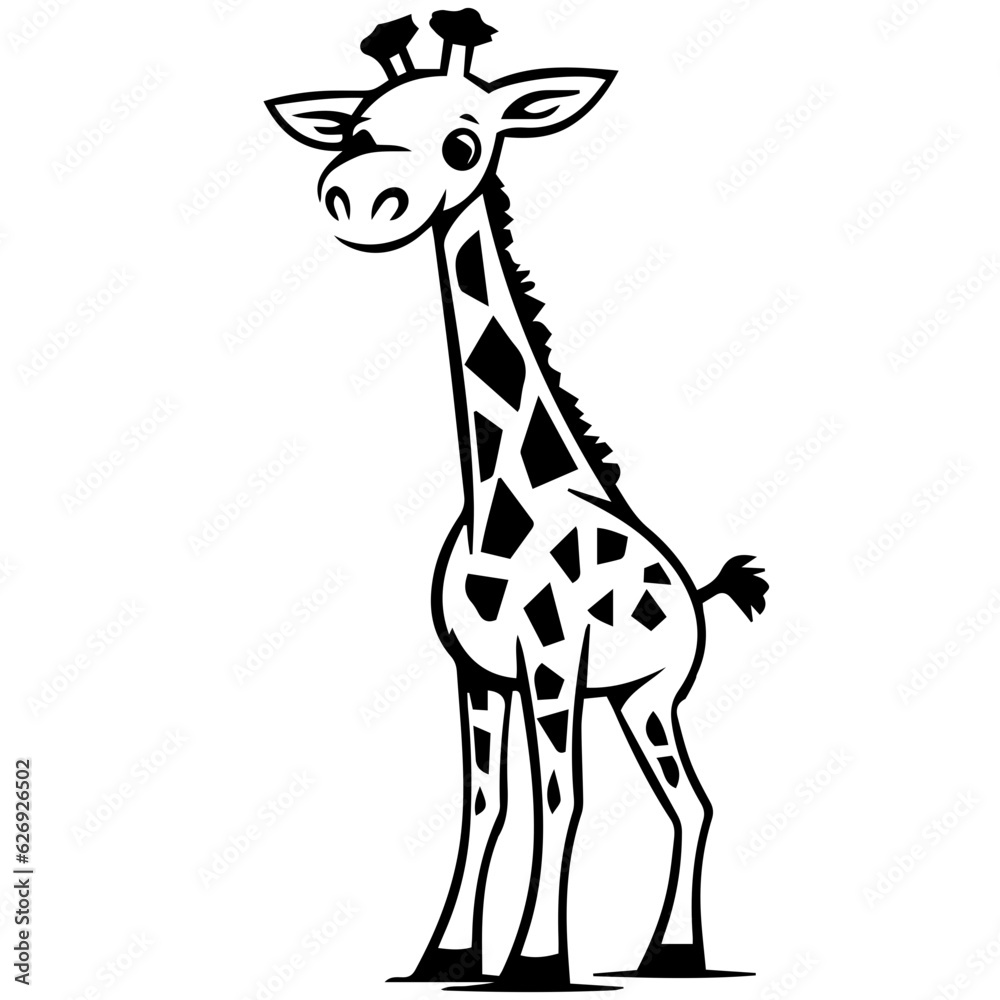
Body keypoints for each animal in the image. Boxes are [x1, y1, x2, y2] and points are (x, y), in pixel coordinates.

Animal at [267, 9, 768, 990]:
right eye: (354, 131)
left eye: (464, 142)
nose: (359, 196)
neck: (502, 498)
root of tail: (696, 592)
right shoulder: (478, 671)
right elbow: (485, 802)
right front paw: (448, 951)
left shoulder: (550, 662)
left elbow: (556, 799)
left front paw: (536, 961)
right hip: (627, 699)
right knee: (684, 802)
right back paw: (665, 950)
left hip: (651, 692)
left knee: (691, 802)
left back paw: (674, 952)